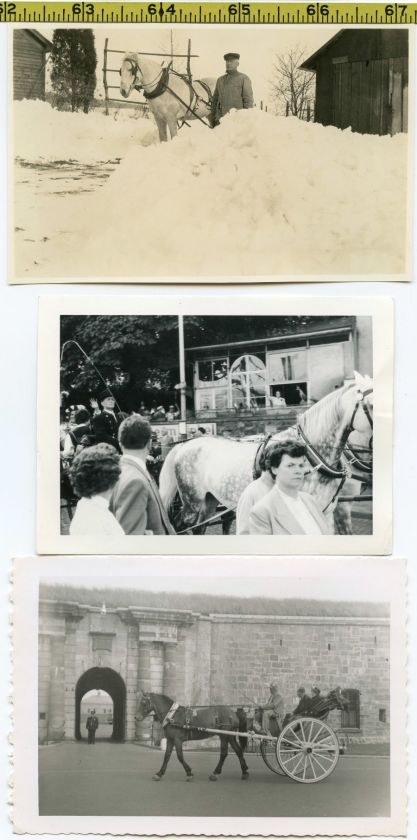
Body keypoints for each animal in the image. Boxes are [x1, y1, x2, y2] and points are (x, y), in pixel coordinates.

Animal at [160, 370, 374, 536]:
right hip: (192, 501)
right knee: (181, 526)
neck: (312, 456)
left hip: (210, 499)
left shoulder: (326, 511)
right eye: (371, 405)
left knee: (200, 528)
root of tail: (185, 445)